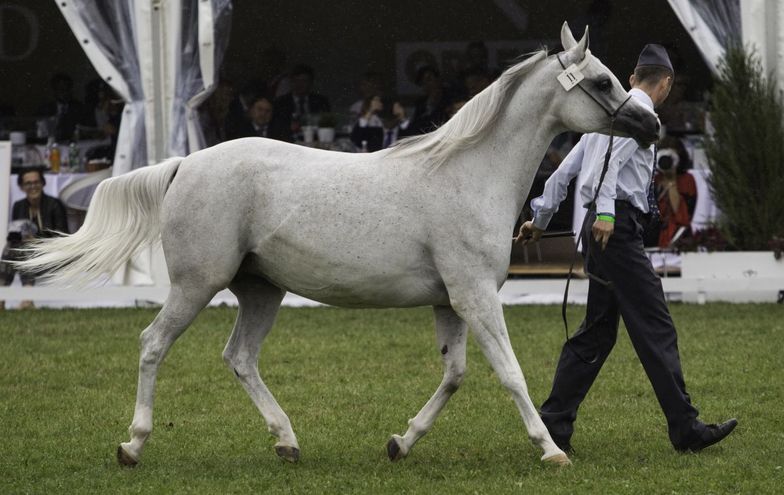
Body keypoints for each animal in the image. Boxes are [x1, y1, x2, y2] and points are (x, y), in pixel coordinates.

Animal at [16, 24, 656, 468]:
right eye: (603, 81)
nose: (650, 126)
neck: (467, 173)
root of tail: (183, 164)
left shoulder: (450, 301)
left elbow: (454, 376)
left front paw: (401, 441)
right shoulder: (475, 296)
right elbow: (511, 373)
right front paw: (551, 450)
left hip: (261, 291)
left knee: (239, 358)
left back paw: (287, 443)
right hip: (197, 284)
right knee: (153, 345)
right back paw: (133, 445)